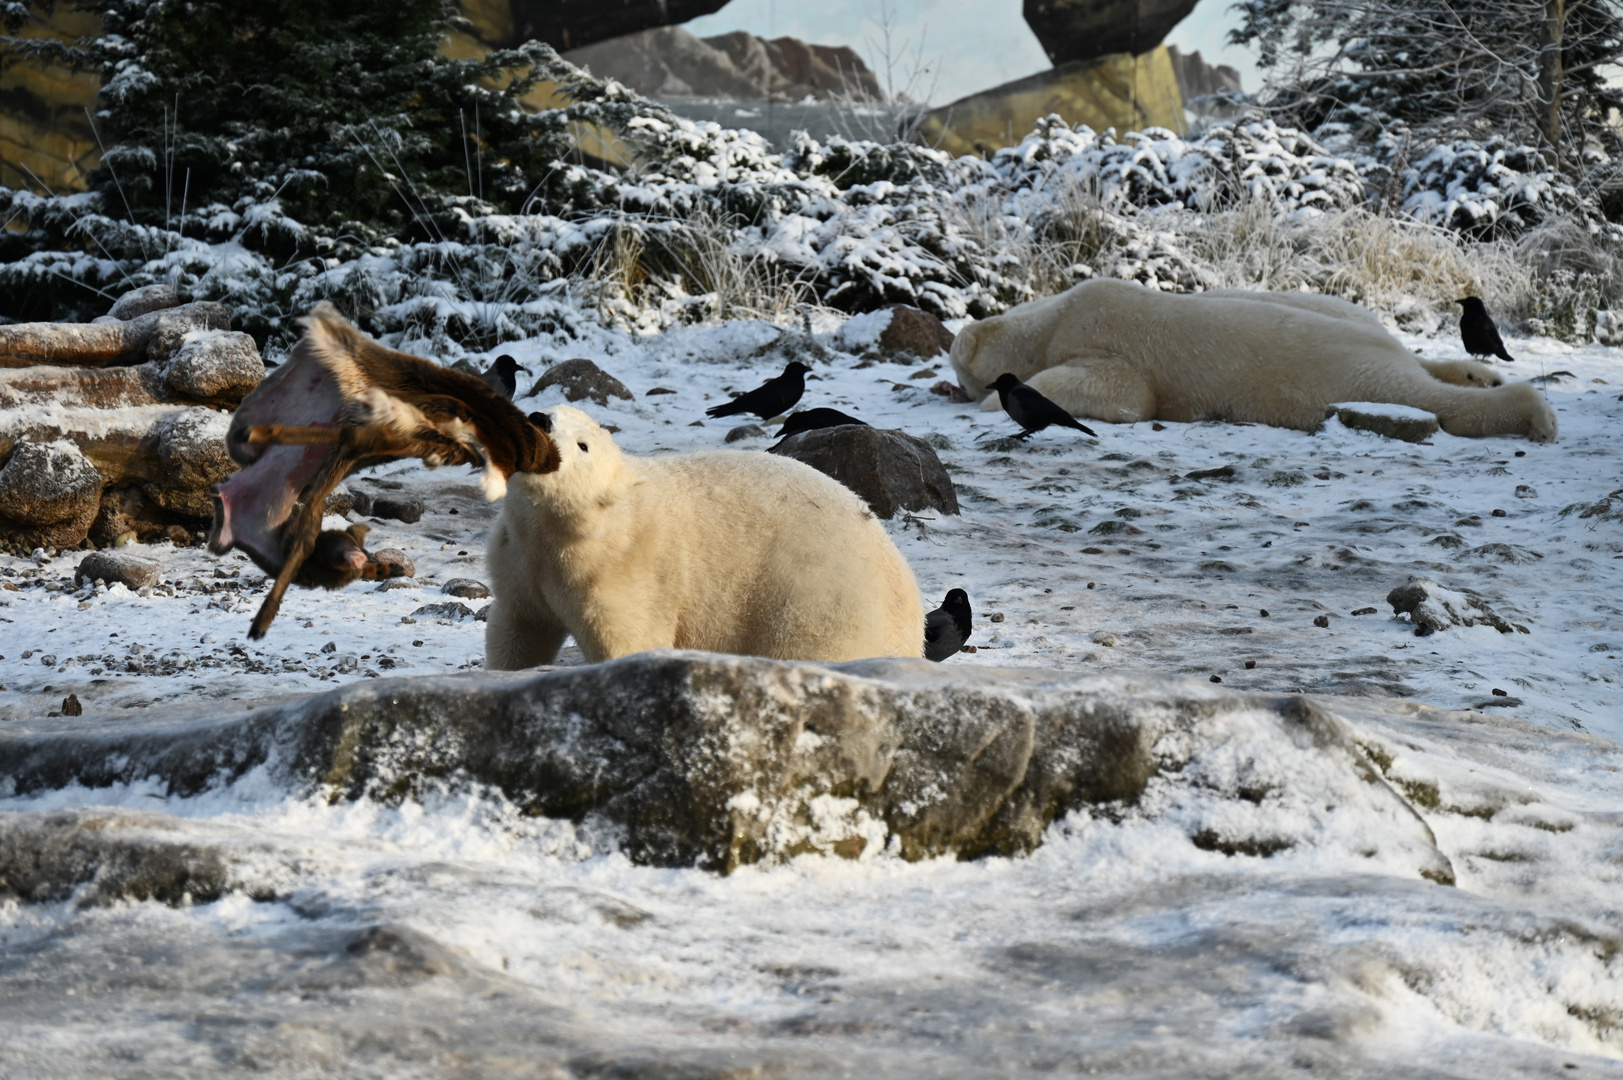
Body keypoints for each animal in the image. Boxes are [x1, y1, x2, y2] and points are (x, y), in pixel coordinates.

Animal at [480, 404, 928, 665]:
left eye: (583, 445)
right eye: (548, 408)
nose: (539, 420)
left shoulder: (623, 569)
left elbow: (629, 640)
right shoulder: (520, 559)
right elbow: (519, 630)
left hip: (821, 601)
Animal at [947, 284, 1558, 444]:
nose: (956, 387)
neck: (1051, 321)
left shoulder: (1105, 331)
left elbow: (1125, 392)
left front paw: (996, 400)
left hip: (1343, 371)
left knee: (1418, 396)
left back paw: (1536, 415)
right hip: (1361, 332)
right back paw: (1481, 373)